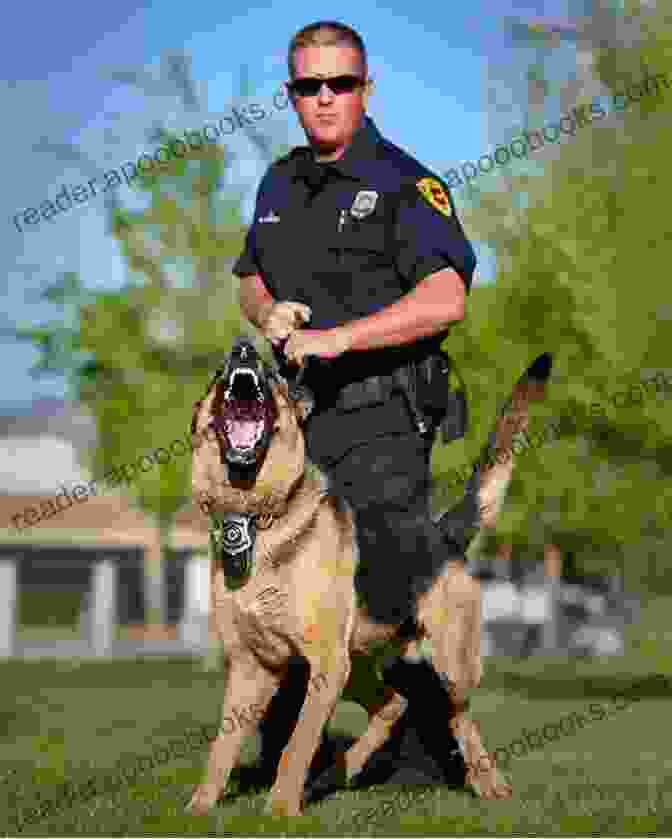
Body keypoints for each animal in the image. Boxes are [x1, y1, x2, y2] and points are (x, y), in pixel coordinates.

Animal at [188, 338, 552, 816]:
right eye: (218, 375)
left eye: (268, 375)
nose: (243, 349)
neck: (254, 517)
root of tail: (441, 531)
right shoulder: (252, 667)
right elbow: (222, 747)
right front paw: (200, 806)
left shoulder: (322, 664)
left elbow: (297, 744)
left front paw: (280, 810)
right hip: (356, 664)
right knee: (394, 704)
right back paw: (336, 774)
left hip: (446, 665)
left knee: (458, 716)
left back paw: (488, 783)